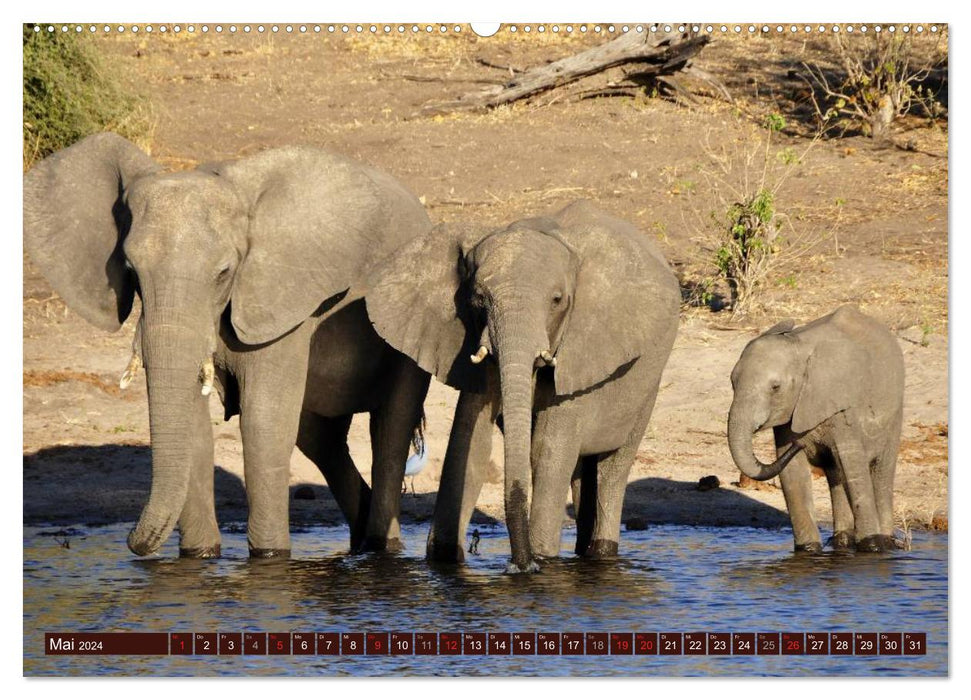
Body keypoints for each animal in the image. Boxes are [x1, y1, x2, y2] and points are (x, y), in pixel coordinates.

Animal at [22, 133, 430, 556]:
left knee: (391, 431)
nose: (132, 543)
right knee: (321, 439)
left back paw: (383, 548)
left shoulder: (282, 306)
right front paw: (199, 557)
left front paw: (269, 558)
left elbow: (263, 424)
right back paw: (361, 541)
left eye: (224, 273)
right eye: (132, 271)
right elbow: (196, 429)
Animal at [368, 200, 680, 572]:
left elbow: (547, 448)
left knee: (612, 469)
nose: (521, 565)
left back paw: (602, 551)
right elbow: (470, 441)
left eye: (558, 300)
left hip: (649, 382)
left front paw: (541, 561)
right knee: (581, 473)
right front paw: (445, 560)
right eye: (478, 299)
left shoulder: (580, 348)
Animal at [732, 304, 908, 552]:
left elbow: (853, 466)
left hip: (894, 413)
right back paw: (841, 542)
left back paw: (886, 542)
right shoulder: (791, 413)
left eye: (776, 387)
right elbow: (793, 474)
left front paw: (872, 546)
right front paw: (809, 550)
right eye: (732, 382)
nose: (799, 444)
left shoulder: (843, 408)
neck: (799, 347)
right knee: (836, 472)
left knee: (880, 471)